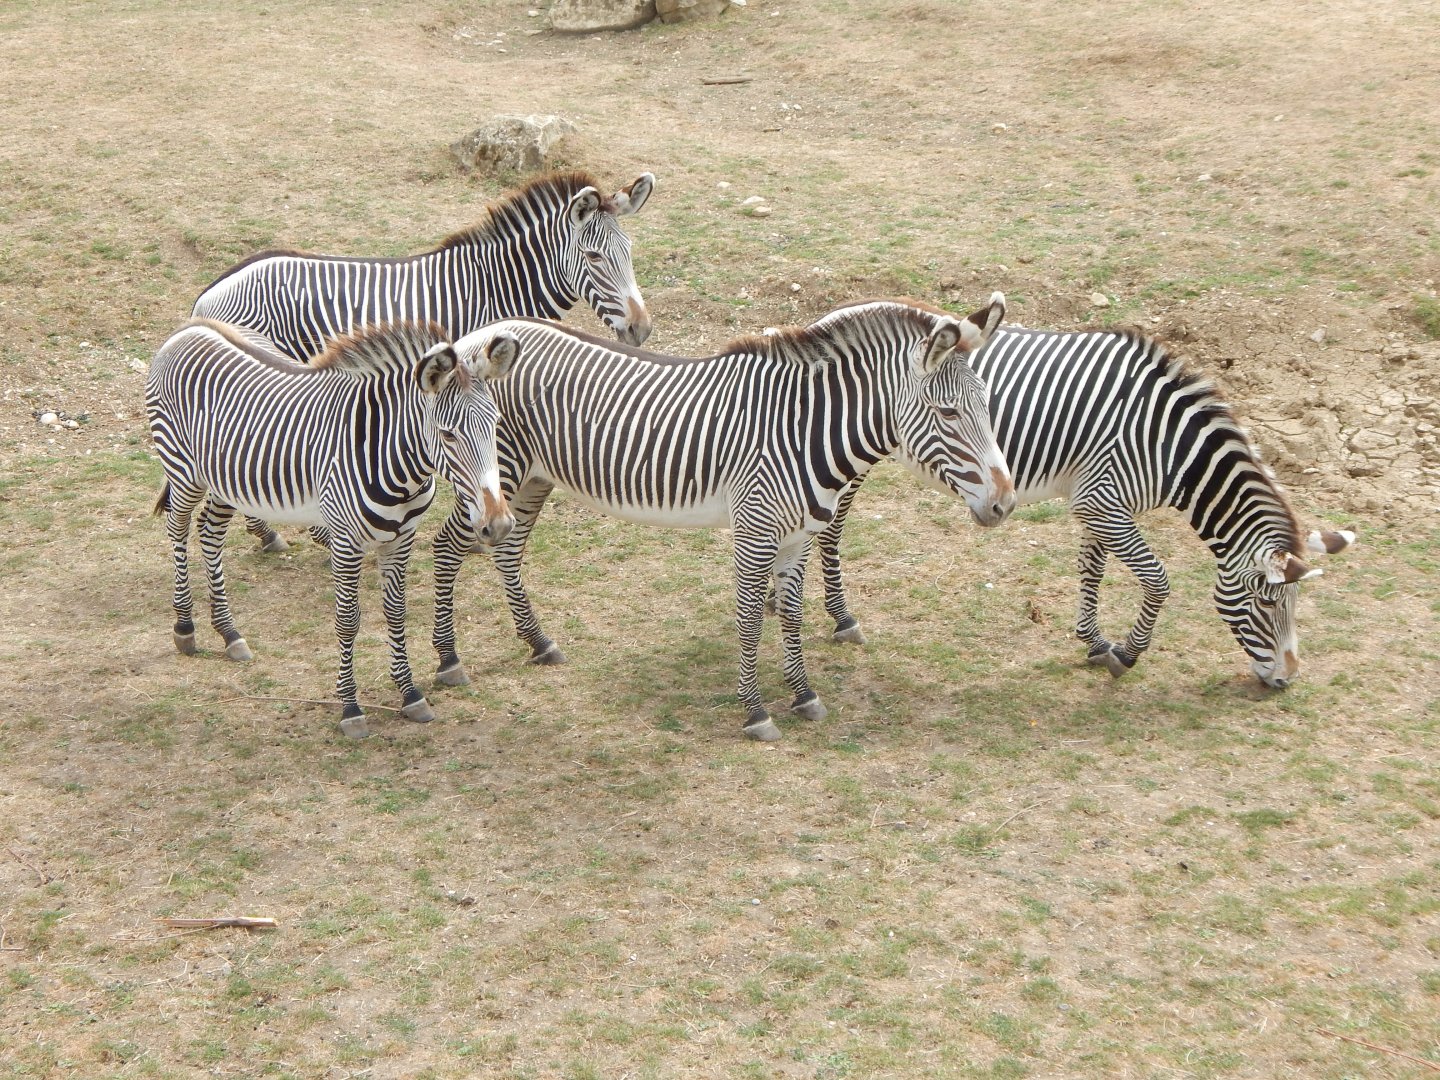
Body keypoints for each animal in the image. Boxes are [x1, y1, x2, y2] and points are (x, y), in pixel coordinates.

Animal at [146, 318, 520, 738]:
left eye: (497, 425)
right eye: (448, 434)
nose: (499, 524)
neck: (393, 461)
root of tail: (190, 328)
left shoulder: (401, 539)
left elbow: (396, 613)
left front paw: (409, 693)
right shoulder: (345, 541)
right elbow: (347, 620)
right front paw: (350, 707)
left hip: (228, 479)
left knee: (210, 532)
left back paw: (229, 632)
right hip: (183, 468)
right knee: (178, 528)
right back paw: (185, 626)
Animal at [189, 170, 654, 552]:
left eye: (630, 250)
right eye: (594, 257)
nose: (641, 329)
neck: (494, 285)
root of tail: (211, 292)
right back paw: (274, 533)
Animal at [435, 294, 1017, 741]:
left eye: (987, 404)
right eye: (948, 414)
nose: (1004, 503)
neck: (803, 428)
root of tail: (476, 338)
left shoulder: (799, 536)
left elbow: (792, 613)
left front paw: (803, 693)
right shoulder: (756, 530)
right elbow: (749, 616)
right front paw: (755, 711)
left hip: (532, 478)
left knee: (509, 549)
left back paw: (538, 642)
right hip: (498, 476)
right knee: (447, 546)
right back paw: (447, 662)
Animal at [805, 325, 1355, 688]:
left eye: (1294, 605)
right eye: (1270, 603)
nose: (1287, 681)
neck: (1171, 447)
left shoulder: (1101, 502)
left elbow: (1092, 569)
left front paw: (1092, 639)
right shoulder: (1104, 501)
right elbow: (1157, 580)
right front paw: (1126, 654)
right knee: (830, 529)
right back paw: (841, 618)